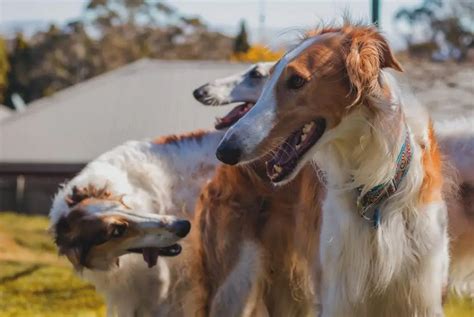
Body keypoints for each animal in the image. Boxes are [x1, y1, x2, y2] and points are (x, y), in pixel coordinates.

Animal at [217, 23, 450, 314]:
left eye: (296, 81)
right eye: (267, 79)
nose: (225, 151)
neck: (373, 192)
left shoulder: (421, 293)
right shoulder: (339, 294)